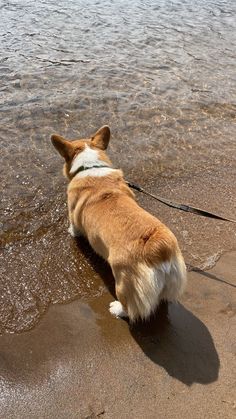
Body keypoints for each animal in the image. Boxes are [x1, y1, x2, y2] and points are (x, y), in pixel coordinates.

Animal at [51, 124, 186, 322]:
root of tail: (157, 246)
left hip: (123, 281)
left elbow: (74, 228)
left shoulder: (73, 215)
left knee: (129, 306)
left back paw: (116, 309)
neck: (90, 166)